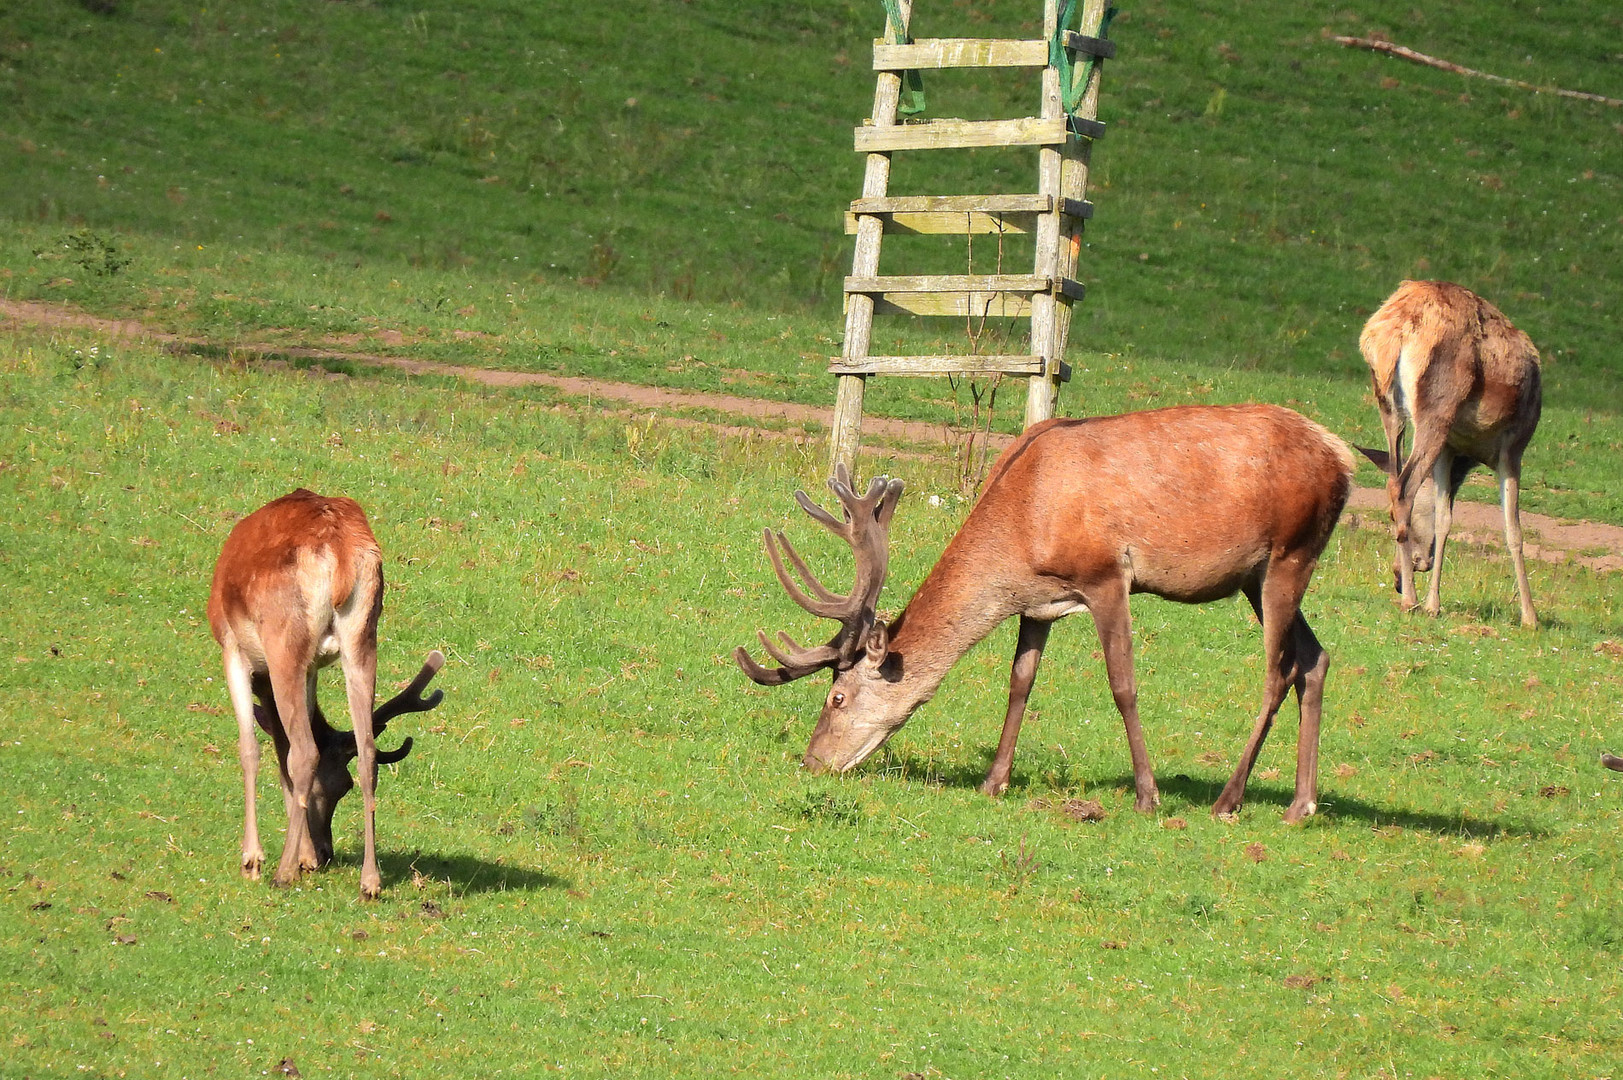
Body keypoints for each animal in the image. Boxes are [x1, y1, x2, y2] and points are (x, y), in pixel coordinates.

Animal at [207, 487, 444, 889]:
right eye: (337, 786)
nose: (325, 852)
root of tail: (341, 550)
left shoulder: (233, 647)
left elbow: (252, 749)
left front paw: (253, 859)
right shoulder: (312, 669)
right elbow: (282, 752)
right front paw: (304, 855)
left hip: (285, 641)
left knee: (304, 751)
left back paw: (282, 873)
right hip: (362, 637)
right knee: (367, 753)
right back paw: (370, 882)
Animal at [736, 402, 1356, 818]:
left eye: (836, 697)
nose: (812, 762)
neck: (1023, 525)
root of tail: (1344, 458)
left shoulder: (1105, 576)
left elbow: (1123, 684)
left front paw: (1147, 794)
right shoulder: (1038, 602)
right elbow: (1020, 681)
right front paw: (995, 782)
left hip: (1291, 552)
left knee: (1279, 669)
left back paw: (1229, 799)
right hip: (1258, 574)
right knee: (1316, 658)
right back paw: (1302, 804)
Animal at [1350, 282, 1538, 626]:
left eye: (1386, 516)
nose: (1396, 578)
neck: (1471, 455)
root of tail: (1393, 331)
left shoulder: (1448, 450)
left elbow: (1445, 518)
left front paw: (1434, 602)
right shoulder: (1514, 446)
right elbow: (1513, 528)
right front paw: (1530, 615)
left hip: (1389, 407)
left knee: (1394, 478)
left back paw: (1413, 597)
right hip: (1437, 407)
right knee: (1403, 487)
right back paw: (1410, 600)